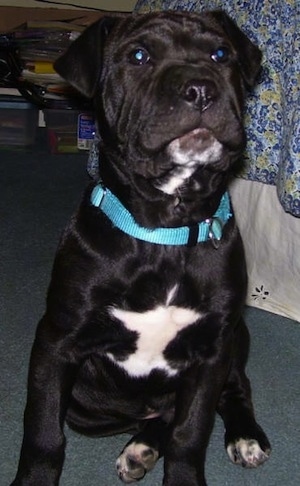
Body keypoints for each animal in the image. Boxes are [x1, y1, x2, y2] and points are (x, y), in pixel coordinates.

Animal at [11, 11, 270, 486]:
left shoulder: (212, 352)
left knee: (233, 391)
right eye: (138, 56)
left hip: (235, 339)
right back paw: (141, 447)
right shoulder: (56, 343)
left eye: (220, 53)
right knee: (157, 417)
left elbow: (192, 431)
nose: (200, 88)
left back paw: (244, 436)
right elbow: (43, 432)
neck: (165, 232)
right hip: (86, 402)